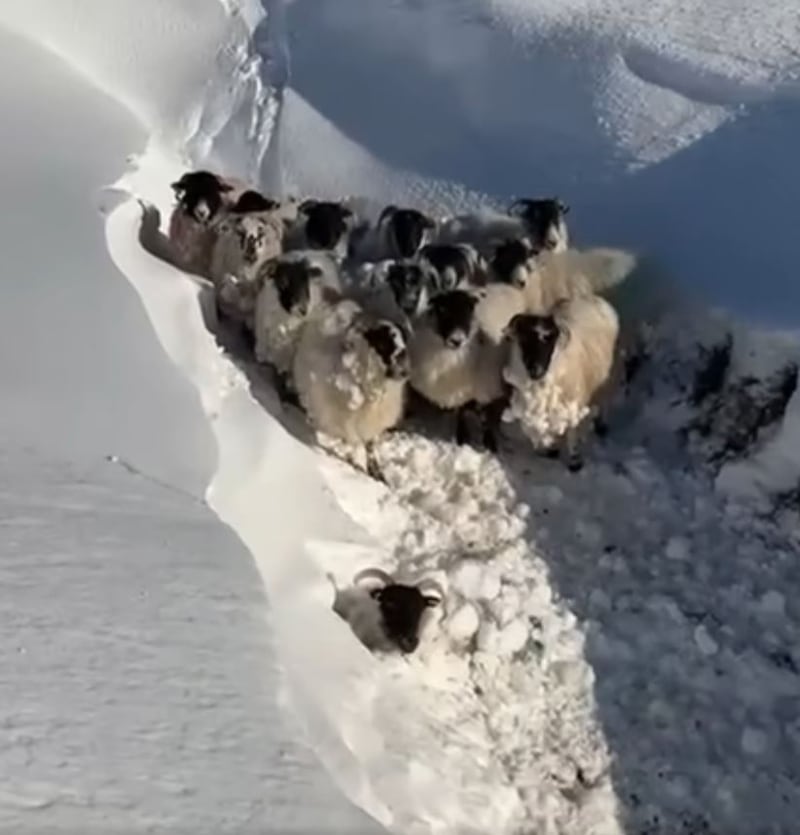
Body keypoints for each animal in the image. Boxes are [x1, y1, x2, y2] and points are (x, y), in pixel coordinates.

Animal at [290, 298, 412, 480]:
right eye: (383, 343)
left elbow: (370, 446)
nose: (404, 370)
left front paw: (377, 474)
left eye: (404, 341)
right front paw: (359, 466)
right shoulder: (349, 419)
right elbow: (357, 442)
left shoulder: (371, 421)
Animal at [410, 284, 528, 450]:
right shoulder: (461, 395)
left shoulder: (491, 390)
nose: (456, 340)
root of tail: (508, 286)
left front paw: (490, 444)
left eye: (469, 311)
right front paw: (462, 439)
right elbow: (462, 413)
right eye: (442, 310)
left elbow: (488, 418)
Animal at [504, 292, 620, 470]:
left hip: (607, 378)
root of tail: (591, 297)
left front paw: (575, 461)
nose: (536, 370)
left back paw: (601, 424)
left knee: (604, 400)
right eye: (523, 340)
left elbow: (572, 432)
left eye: (550, 340)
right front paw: (550, 449)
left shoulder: (572, 405)